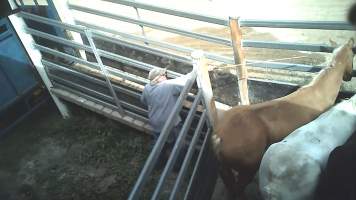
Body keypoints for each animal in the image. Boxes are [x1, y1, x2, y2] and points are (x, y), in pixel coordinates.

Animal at [213, 38, 354, 198]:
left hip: (225, 169)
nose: (349, 76)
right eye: (353, 54)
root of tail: (220, 138)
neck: (319, 92)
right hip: (247, 168)